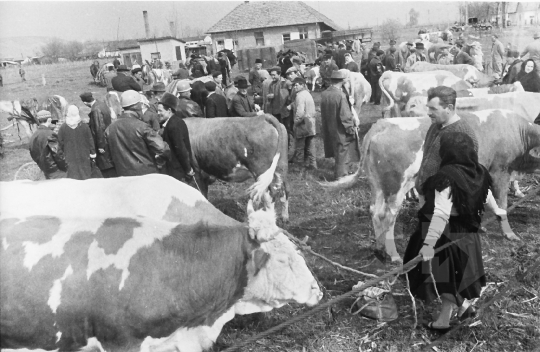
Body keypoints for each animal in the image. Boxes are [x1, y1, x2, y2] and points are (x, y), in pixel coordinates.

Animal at [324, 110, 540, 262]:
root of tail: (382, 124)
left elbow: (487, 201)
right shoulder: (500, 171)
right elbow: (502, 204)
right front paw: (509, 233)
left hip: (377, 184)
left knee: (374, 212)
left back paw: (379, 249)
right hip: (397, 186)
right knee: (387, 216)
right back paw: (393, 255)